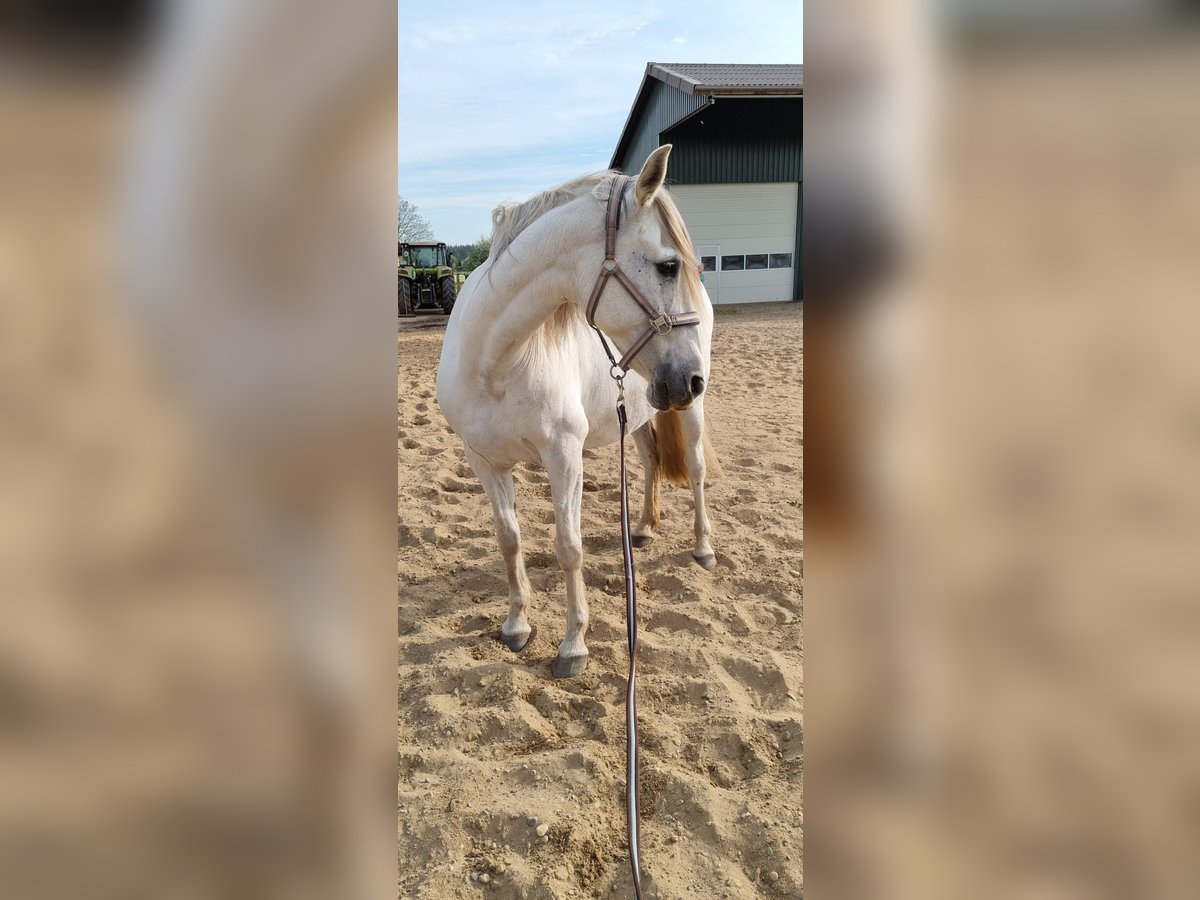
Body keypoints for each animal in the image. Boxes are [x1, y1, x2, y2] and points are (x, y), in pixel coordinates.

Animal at [436, 144, 719, 679]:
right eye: (669, 266)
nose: (691, 378)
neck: (493, 362)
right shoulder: (483, 461)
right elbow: (509, 538)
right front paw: (516, 626)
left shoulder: (564, 457)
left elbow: (569, 547)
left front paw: (573, 646)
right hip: (644, 407)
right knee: (651, 460)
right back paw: (643, 529)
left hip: (686, 410)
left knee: (693, 470)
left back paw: (703, 548)